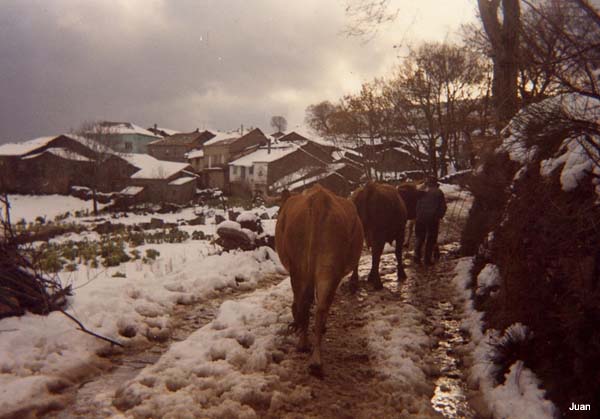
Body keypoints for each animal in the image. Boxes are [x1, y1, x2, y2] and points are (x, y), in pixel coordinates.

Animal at [274, 185, 364, 376]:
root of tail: (318, 200)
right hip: (326, 267)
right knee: (319, 306)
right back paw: (315, 357)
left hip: (302, 268)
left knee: (304, 303)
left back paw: (304, 345)